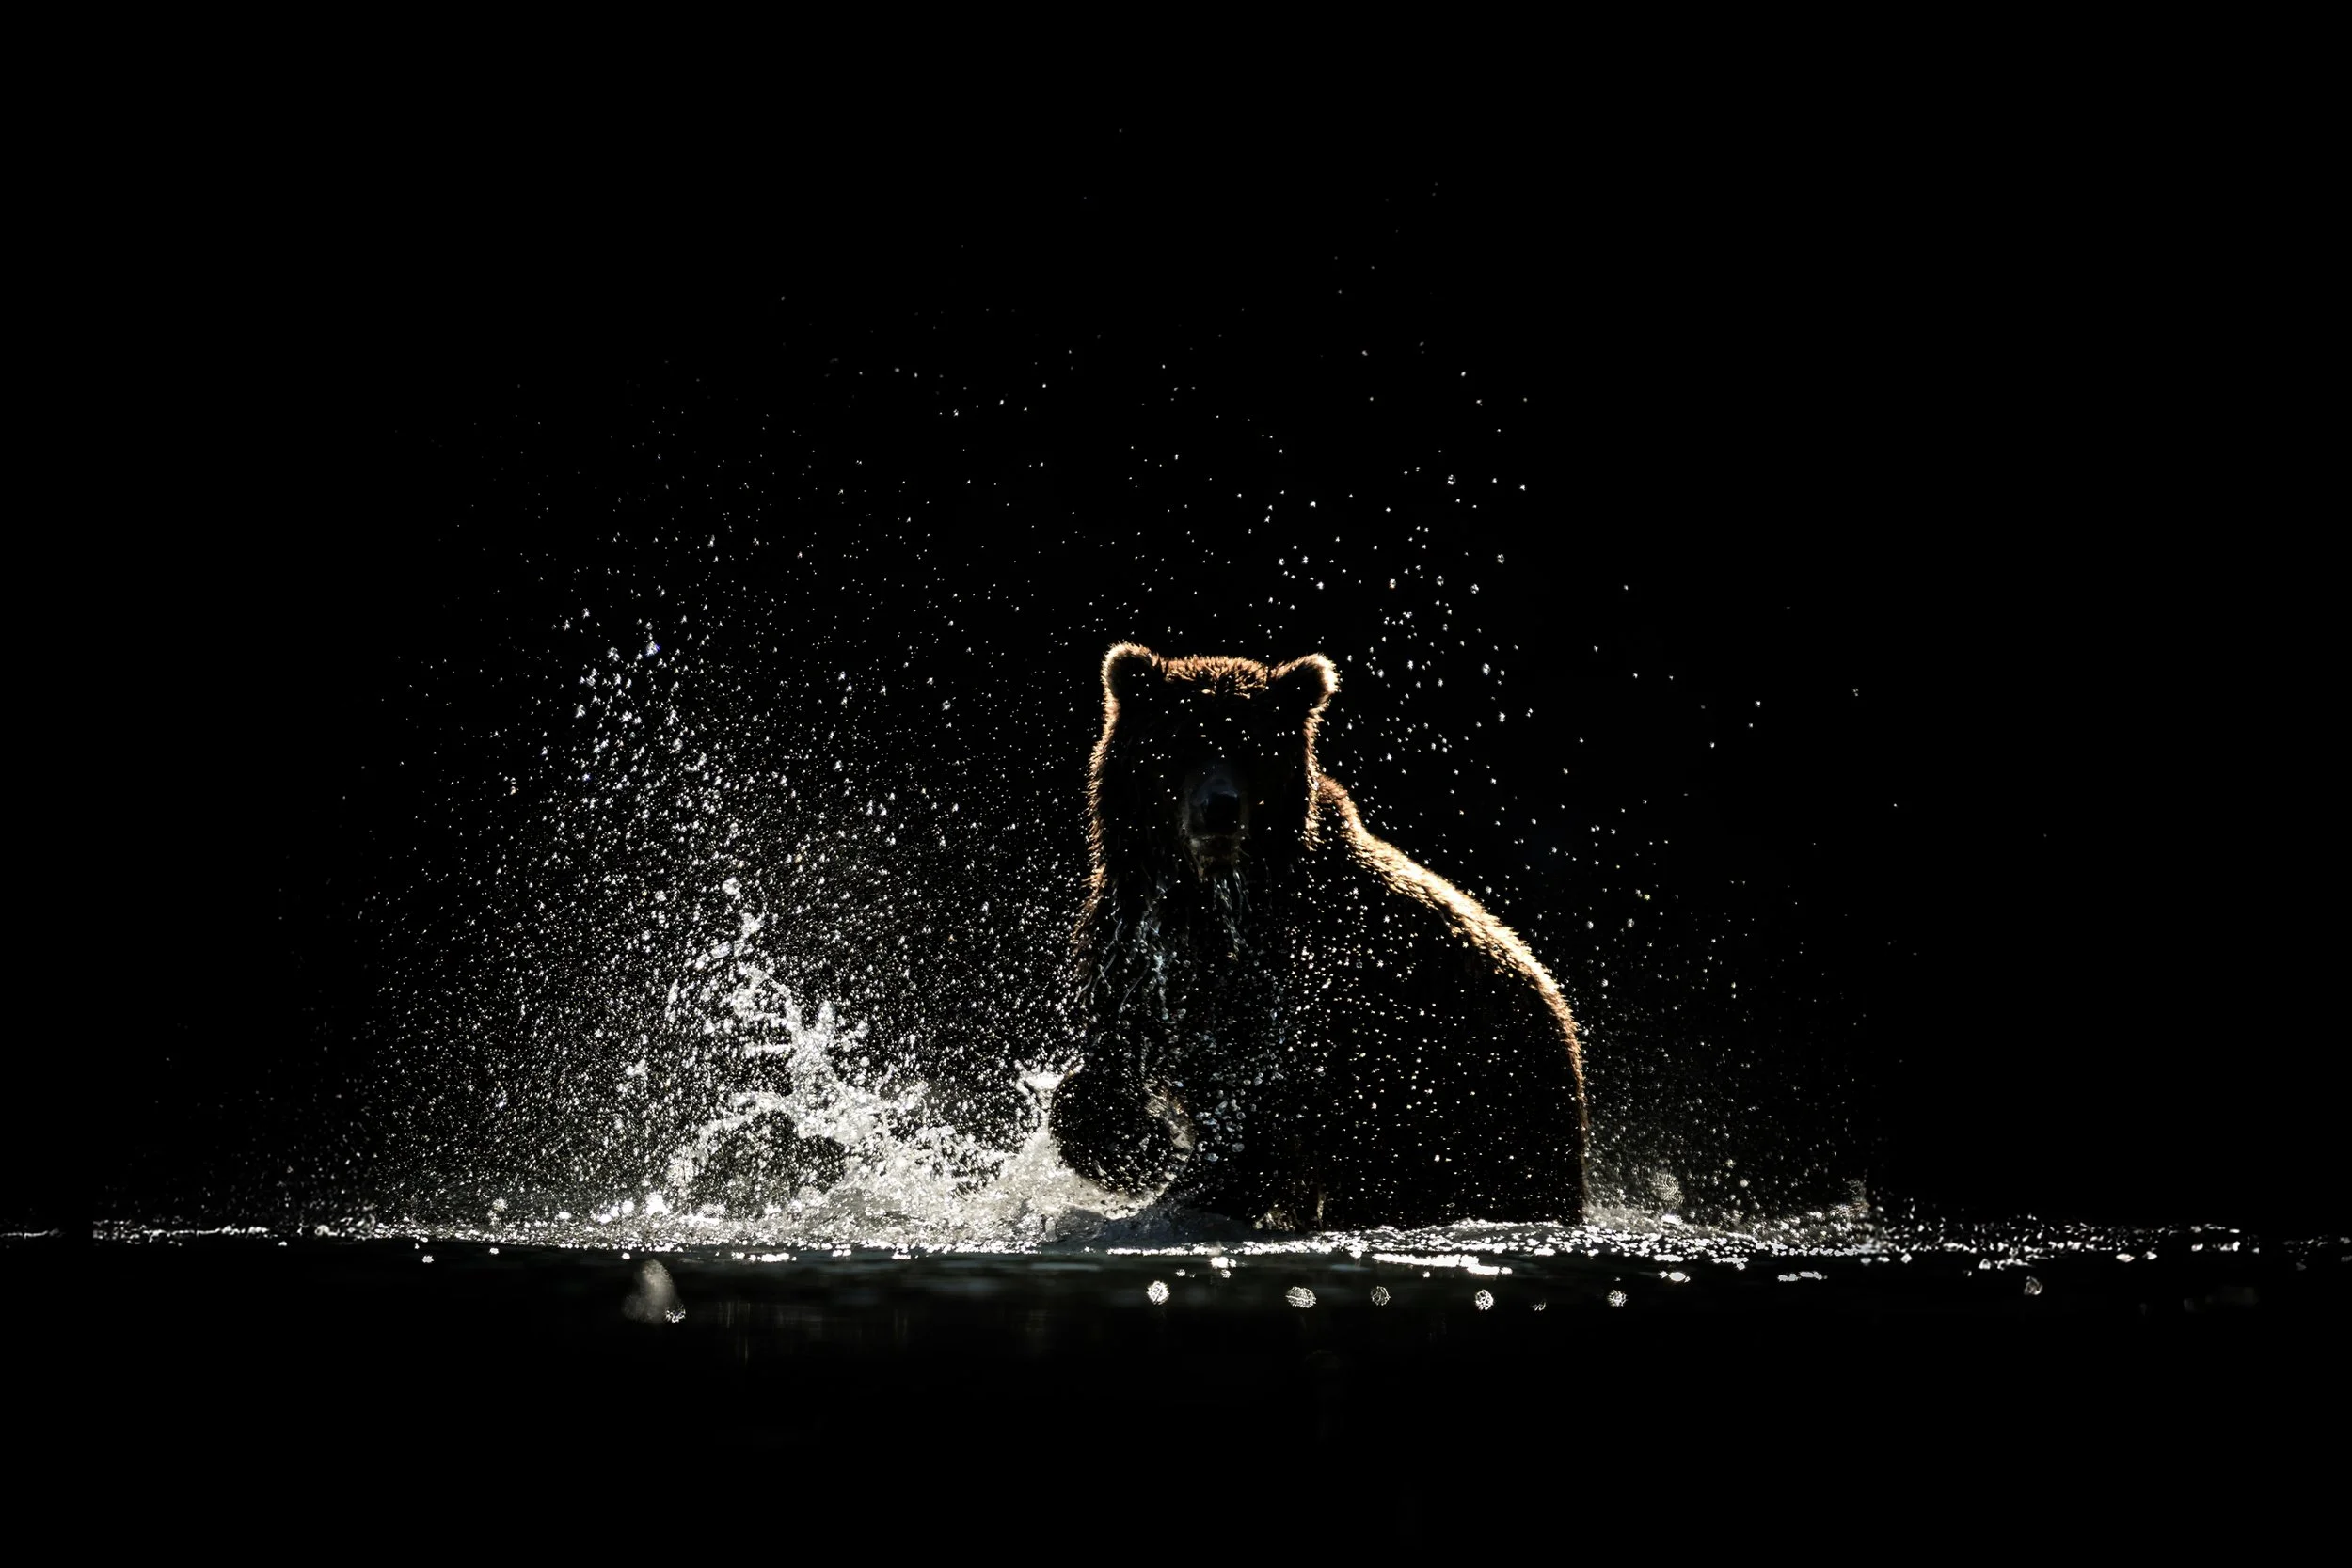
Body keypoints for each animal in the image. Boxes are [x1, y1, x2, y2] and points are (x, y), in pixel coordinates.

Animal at [1047, 643, 1588, 1230]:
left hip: (1470, 1112)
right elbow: (1110, 1057)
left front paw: (1178, 1192)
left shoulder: (1314, 982)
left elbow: (1262, 1118)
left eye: (1251, 747)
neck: (1212, 899)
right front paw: (1138, 1150)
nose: (1220, 807)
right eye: (1182, 741)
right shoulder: (1135, 941)